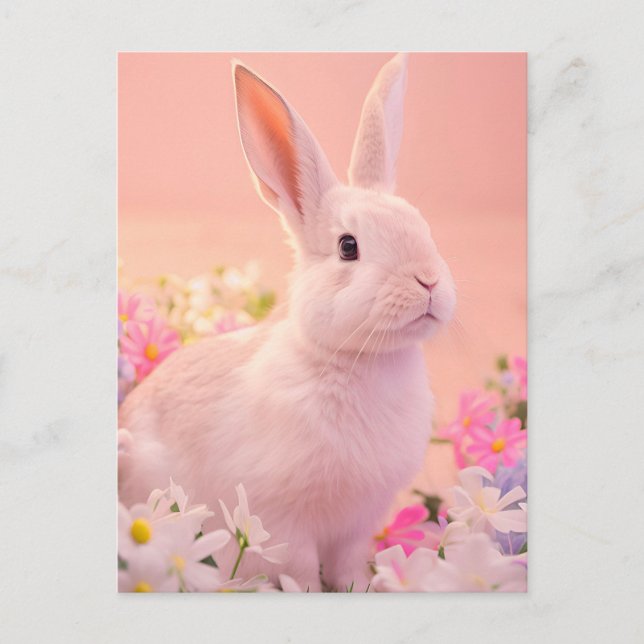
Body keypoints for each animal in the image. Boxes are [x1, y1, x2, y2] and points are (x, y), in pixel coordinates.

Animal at [118, 53, 456, 591]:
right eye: (348, 246)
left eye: (422, 225)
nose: (428, 281)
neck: (355, 359)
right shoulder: (281, 521)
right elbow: (298, 569)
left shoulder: (358, 524)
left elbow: (349, 565)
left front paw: (364, 587)